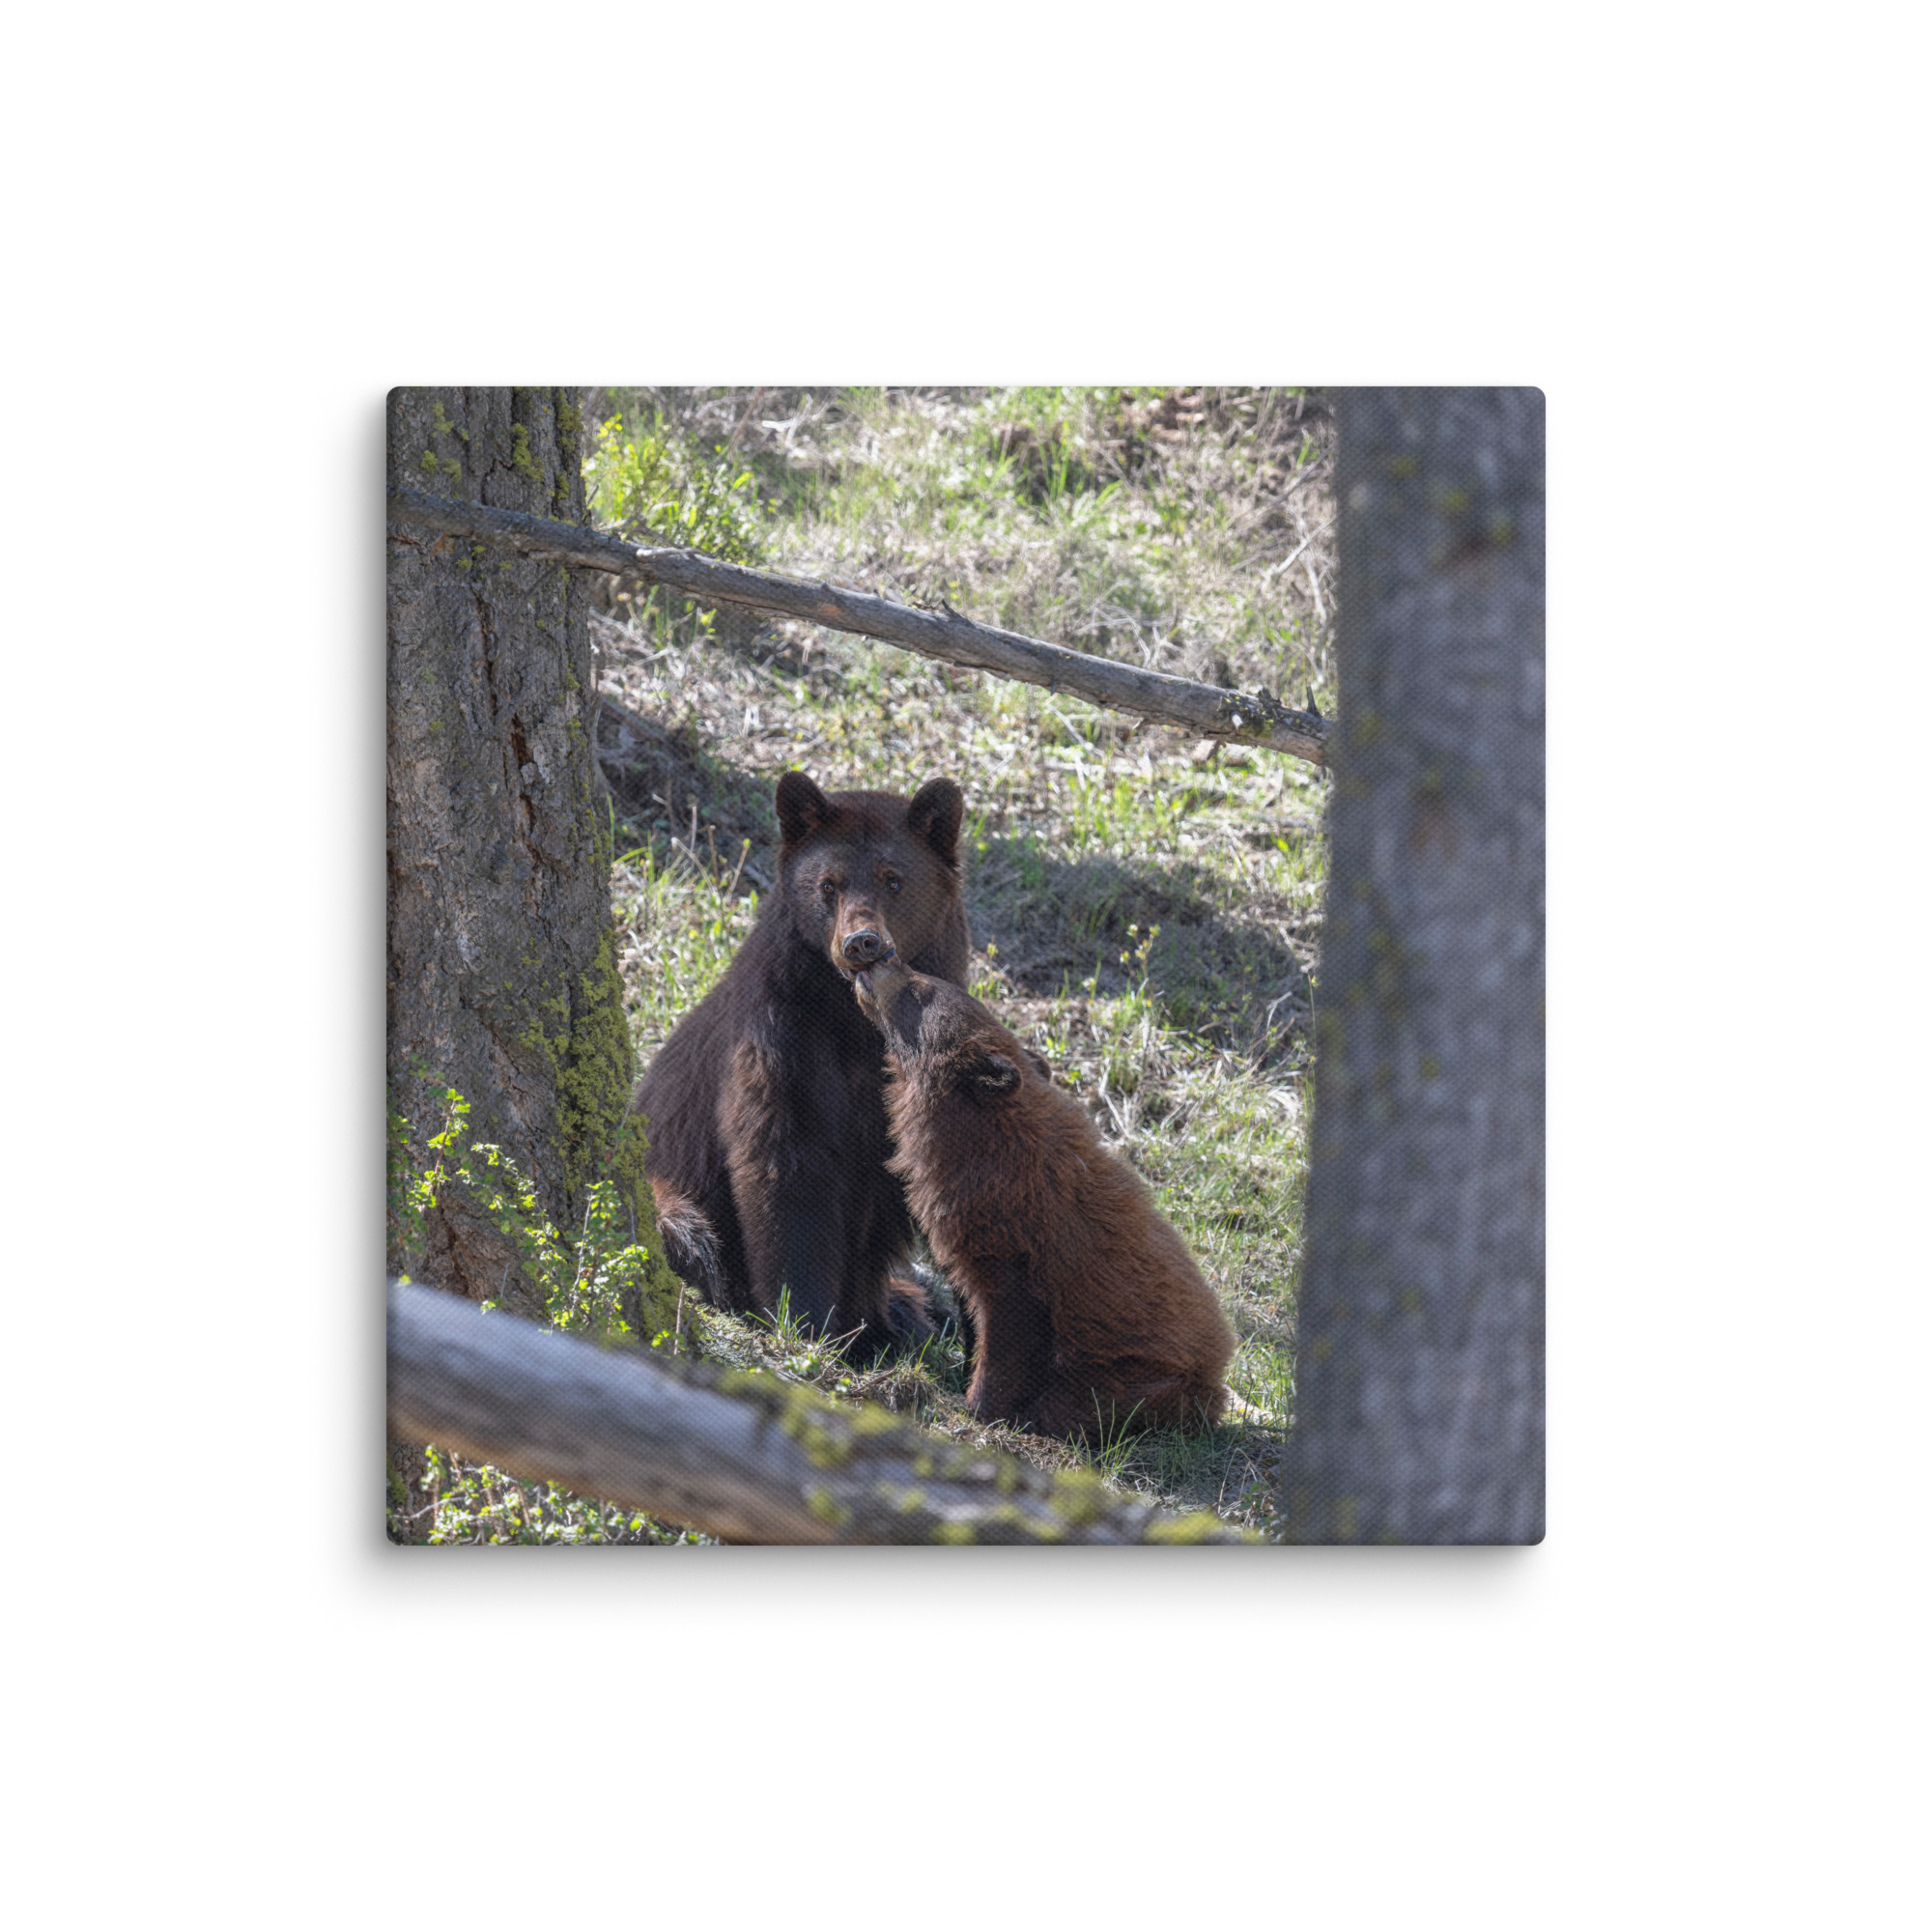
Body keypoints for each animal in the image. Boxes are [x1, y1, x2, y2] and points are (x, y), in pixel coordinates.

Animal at [633, 769, 971, 1359]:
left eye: (893, 880)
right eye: (828, 885)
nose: (862, 942)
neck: (855, 1022)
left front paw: (872, 1322)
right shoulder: (781, 1036)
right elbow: (787, 1166)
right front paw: (806, 1319)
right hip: (667, 1190)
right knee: (688, 1231)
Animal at [851, 945, 1236, 1440]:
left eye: (920, 989)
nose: (884, 956)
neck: (982, 1140)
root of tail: (1217, 1377)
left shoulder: (1016, 1243)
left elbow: (1009, 1328)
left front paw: (978, 1404)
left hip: (1140, 1379)